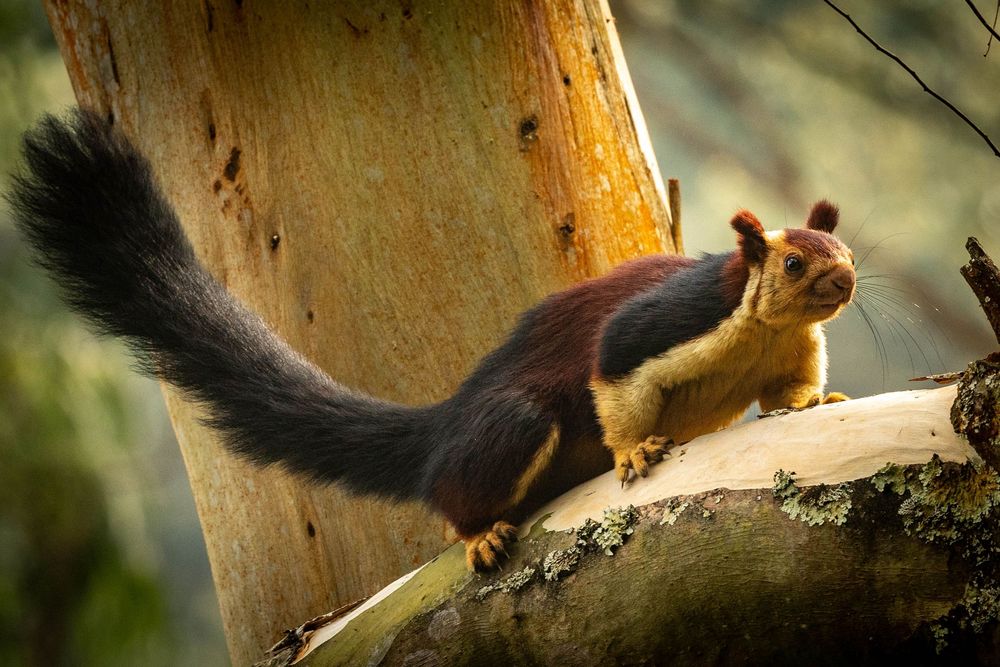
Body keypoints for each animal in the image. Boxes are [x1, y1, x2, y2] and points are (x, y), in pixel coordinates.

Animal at [9, 110, 855, 571]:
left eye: (843, 251)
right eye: (792, 261)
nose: (846, 282)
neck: (759, 327)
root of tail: (446, 423)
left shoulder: (791, 350)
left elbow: (791, 391)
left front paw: (816, 401)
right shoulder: (664, 322)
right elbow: (614, 373)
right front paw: (634, 450)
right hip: (508, 426)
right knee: (458, 488)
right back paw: (476, 531)